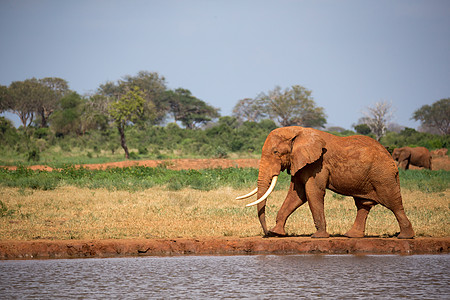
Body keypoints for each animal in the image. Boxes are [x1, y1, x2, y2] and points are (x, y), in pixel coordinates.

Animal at [236, 126, 414, 239]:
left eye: (275, 152)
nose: (266, 233)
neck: (298, 132)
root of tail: (391, 158)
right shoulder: (301, 162)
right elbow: (297, 194)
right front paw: (277, 233)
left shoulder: (318, 164)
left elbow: (312, 192)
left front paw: (318, 237)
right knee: (363, 205)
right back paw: (351, 236)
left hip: (383, 176)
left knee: (393, 203)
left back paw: (405, 237)